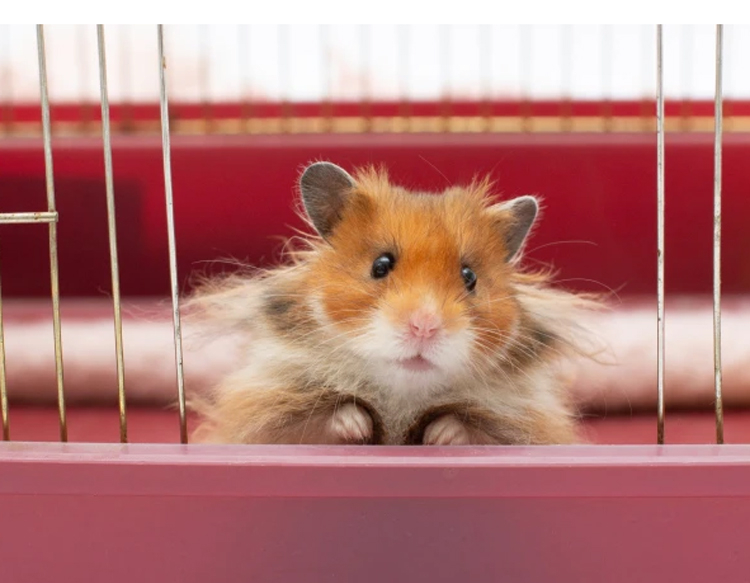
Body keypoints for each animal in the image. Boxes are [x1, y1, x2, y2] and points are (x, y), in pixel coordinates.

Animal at [186, 161, 600, 446]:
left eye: (470, 277)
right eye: (380, 265)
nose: (425, 326)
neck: (402, 396)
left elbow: (468, 428)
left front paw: (441, 436)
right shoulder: (267, 413)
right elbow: (325, 420)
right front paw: (354, 424)